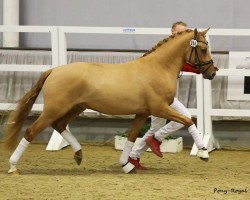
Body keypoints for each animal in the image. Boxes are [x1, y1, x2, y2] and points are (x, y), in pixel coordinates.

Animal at [3, 28, 217, 173]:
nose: (213, 72)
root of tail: (54, 70)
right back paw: (13, 166)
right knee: (31, 131)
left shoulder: (143, 113)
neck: (158, 68)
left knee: (60, 125)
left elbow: (132, 137)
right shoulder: (159, 108)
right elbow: (188, 120)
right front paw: (203, 152)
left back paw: (79, 155)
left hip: (75, 108)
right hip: (54, 109)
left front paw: (127, 165)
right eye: (203, 48)